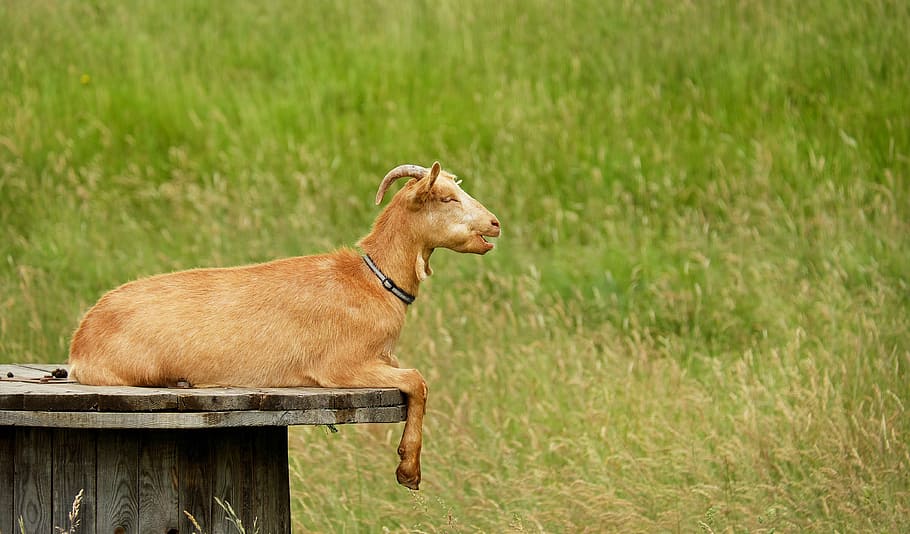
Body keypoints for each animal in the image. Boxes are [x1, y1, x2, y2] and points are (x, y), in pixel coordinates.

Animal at [68, 161, 501, 490]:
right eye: (446, 198)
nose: (494, 224)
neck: (372, 282)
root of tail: (80, 341)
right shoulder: (340, 367)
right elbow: (417, 381)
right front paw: (408, 470)